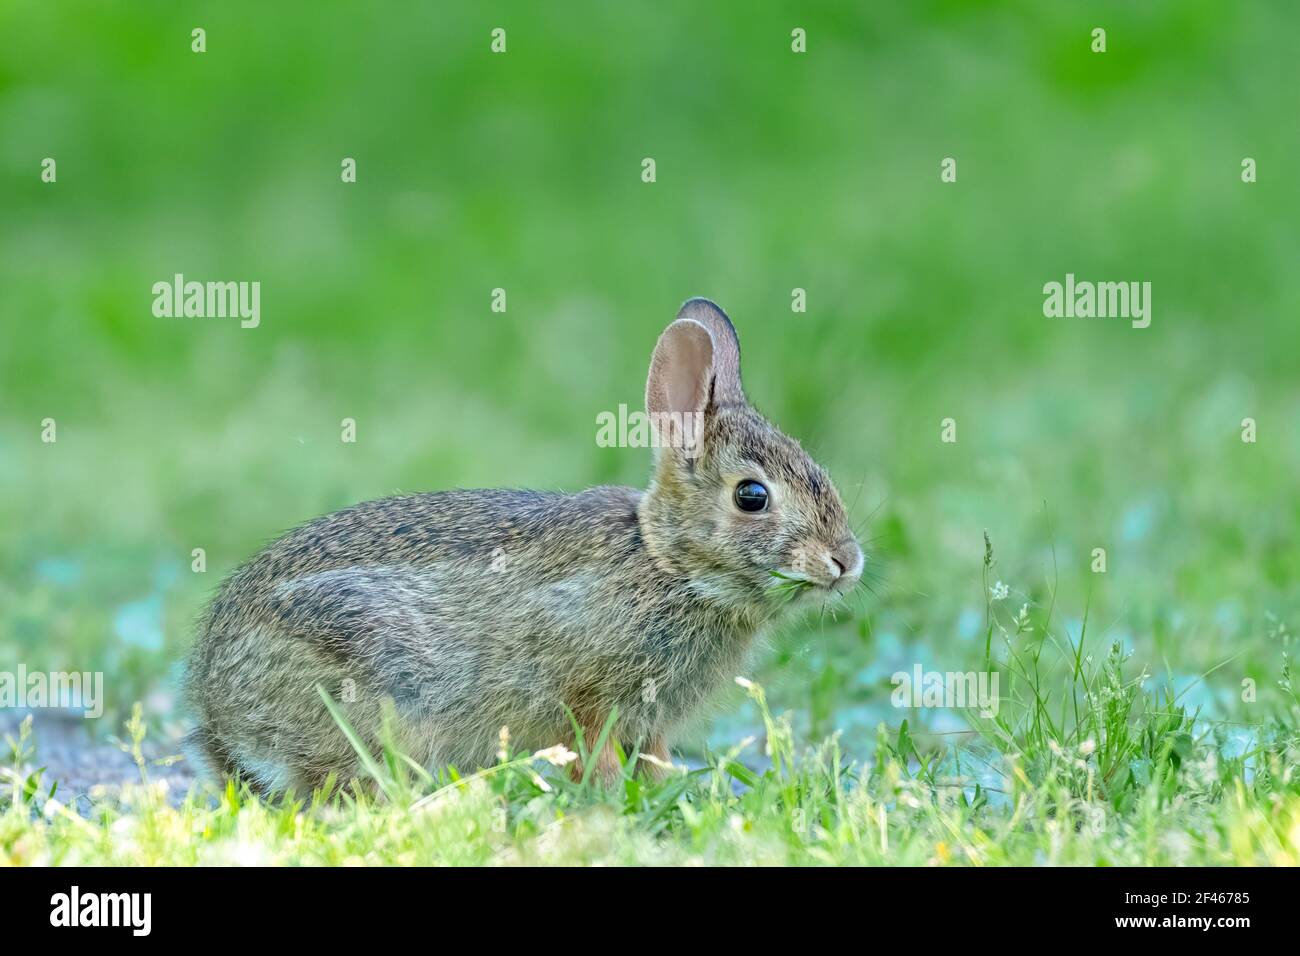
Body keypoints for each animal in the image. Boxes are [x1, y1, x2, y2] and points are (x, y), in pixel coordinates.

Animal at [183, 299, 868, 790]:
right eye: (752, 496)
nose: (845, 561)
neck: (666, 563)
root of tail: (218, 713)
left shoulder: (648, 721)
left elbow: (655, 759)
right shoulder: (587, 691)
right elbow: (596, 750)